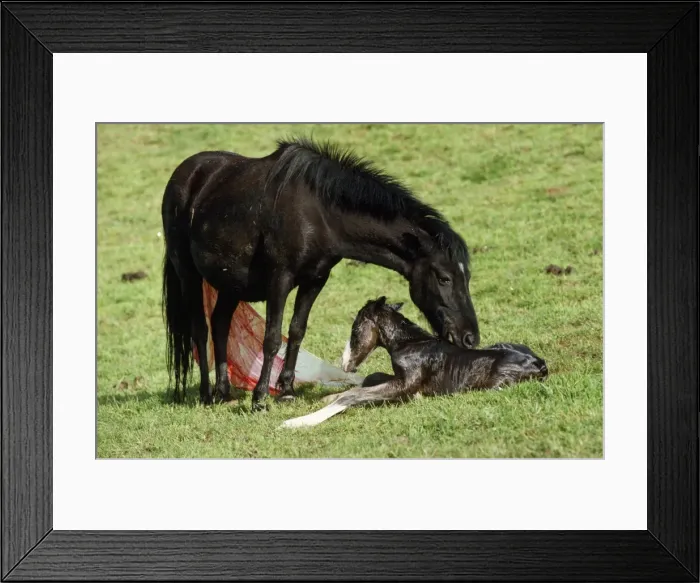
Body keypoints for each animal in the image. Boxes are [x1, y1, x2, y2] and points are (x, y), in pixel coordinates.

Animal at [161, 137, 480, 411]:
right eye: (444, 278)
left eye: (466, 277)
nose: (470, 338)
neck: (317, 213)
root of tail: (185, 174)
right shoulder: (280, 279)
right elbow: (272, 337)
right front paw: (260, 398)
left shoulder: (315, 280)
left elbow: (297, 330)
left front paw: (286, 391)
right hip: (187, 273)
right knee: (200, 329)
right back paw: (206, 394)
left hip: (231, 283)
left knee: (220, 324)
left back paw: (224, 391)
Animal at [281, 297, 547, 428]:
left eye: (355, 329)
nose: (345, 364)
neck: (410, 343)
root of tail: (539, 363)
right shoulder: (398, 378)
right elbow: (369, 379)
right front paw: (326, 397)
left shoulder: (405, 385)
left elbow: (355, 394)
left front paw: (297, 422)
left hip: (496, 384)